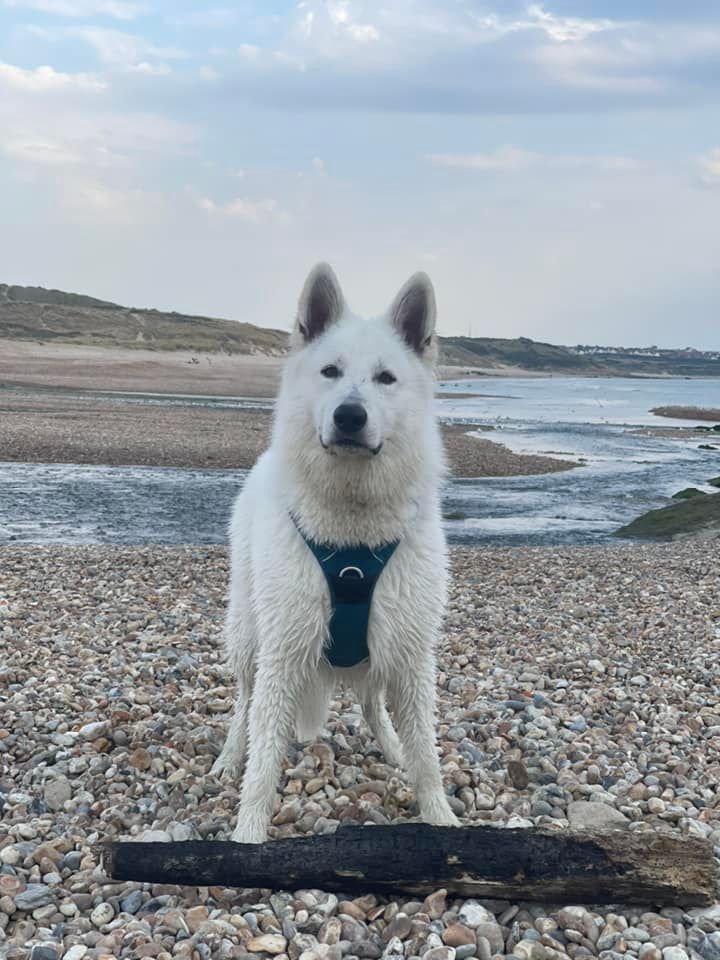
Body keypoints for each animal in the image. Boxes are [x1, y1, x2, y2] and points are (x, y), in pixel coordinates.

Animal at [214, 262, 458, 840]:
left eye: (386, 378)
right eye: (330, 371)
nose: (350, 415)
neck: (352, 537)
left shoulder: (411, 654)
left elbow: (427, 754)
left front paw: (440, 816)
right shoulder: (282, 653)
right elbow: (263, 759)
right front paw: (248, 834)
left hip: (380, 648)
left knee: (372, 704)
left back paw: (390, 749)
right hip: (249, 637)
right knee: (242, 704)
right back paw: (229, 756)